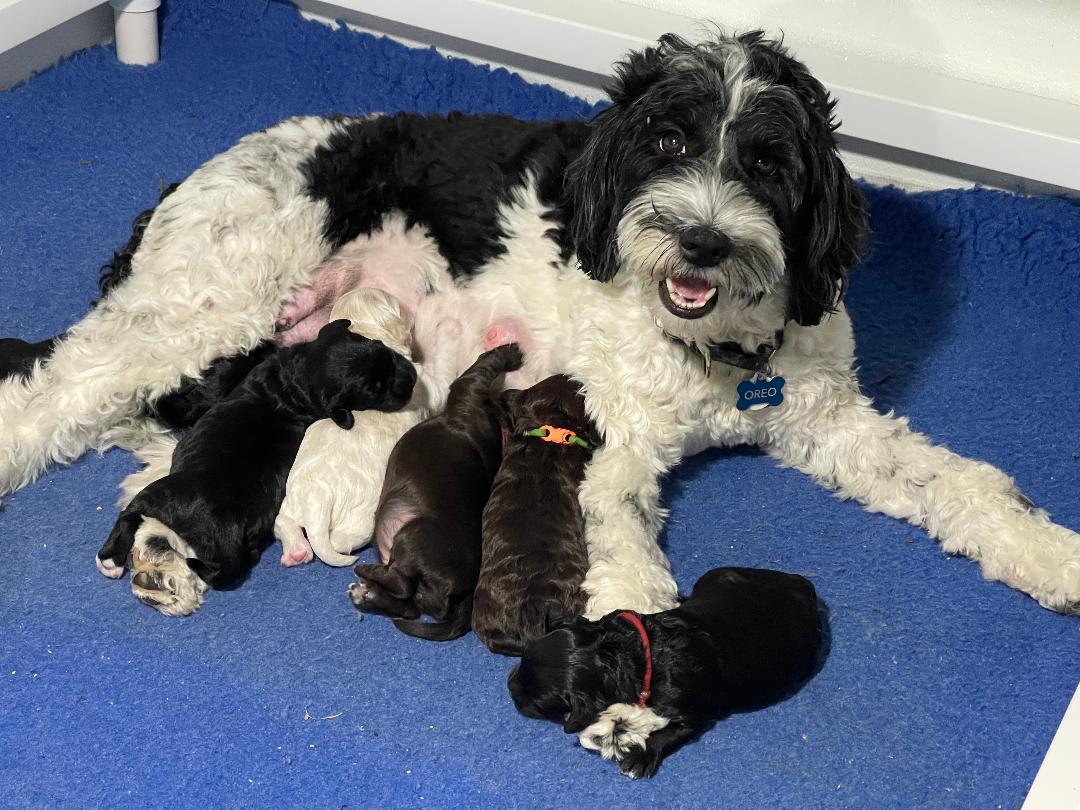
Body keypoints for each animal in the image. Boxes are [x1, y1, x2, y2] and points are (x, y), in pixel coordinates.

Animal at [96, 319, 417, 615]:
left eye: (384, 349)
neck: (294, 378)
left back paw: (112, 560)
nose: (413, 377)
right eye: (375, 390)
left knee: (131, 515)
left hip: (164, 494)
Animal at [274, 286, 462, 567]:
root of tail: (316, 499)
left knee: (281, 521)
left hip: (291, 499)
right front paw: (449, 328)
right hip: (360, 518)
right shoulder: (430, 387)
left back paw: (297, 550)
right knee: (339, 540)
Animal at [348, 343, 522, 640]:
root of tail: (461, 594)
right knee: (409, 607)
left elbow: (482, 365)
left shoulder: (467, 385)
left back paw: (366, 572)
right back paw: (366, 595)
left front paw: (510, 352)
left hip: (412, 536)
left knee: (403, 586)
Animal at [508, 567, 825, 778]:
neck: (629, 655)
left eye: (536, 701)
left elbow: (671, 733)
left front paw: (640, 759)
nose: (509, 685)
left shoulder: (694, 711)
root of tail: (802, 585)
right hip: (722, 574)